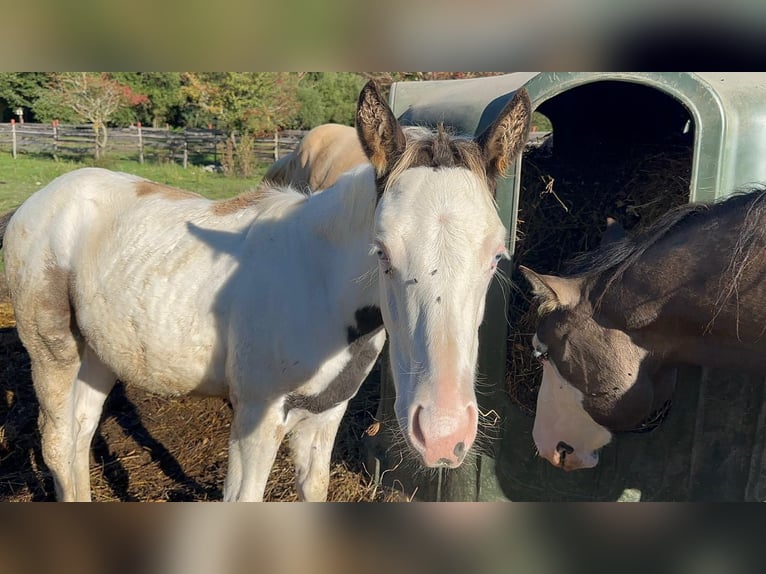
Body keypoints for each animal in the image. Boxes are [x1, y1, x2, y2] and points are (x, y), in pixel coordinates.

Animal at [2, 81, 532, 501]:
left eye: (496, 255)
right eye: (381, 250)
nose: (443, 434)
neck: (318, 284)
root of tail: (35, 201)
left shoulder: (325, 416)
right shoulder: (255, 419)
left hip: (96, 354)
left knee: (79, 436)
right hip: (52, 351)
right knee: (56, 442)